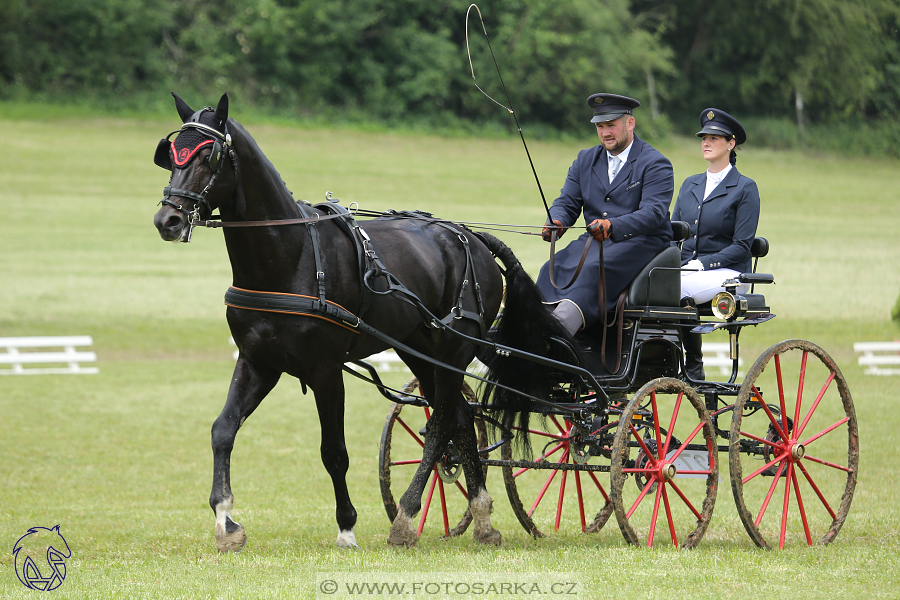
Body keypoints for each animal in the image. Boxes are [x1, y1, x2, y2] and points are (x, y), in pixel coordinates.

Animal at [151, 92, 572, 548]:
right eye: (171, 155)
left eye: (208, 155)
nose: (167, 220)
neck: (290, 256)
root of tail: (471, 236)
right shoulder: (258, 361)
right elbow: (223, 429)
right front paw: (226, 520)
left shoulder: (325, 368)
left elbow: (333, 451)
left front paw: (346, 525)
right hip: (421, 350)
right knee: (459, 417)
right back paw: (481, 517)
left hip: (455, 348)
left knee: (441, 422)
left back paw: (407, 515)